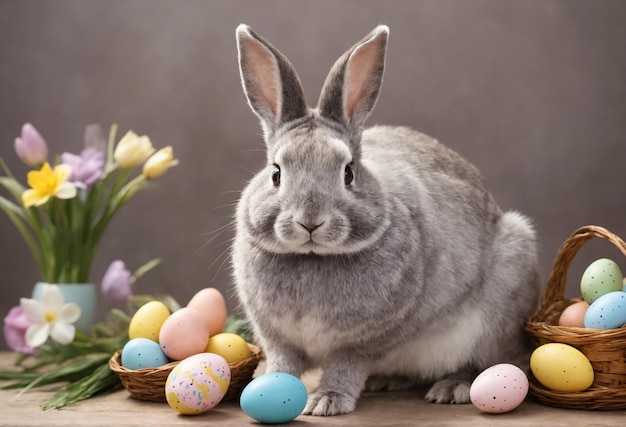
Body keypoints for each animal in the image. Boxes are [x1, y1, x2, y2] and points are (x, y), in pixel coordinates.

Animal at [232, 24, 540, 418]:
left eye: (348, 172)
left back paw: (453, 387)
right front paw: (268, 390)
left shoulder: (363, 342)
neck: (314, 256)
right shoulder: (279, 340)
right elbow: (283, 365)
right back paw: (385, 381)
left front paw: (327, 401)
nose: (310, 221)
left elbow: (346, 365)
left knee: (498, 362)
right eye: (275, 173)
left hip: (498, 311)